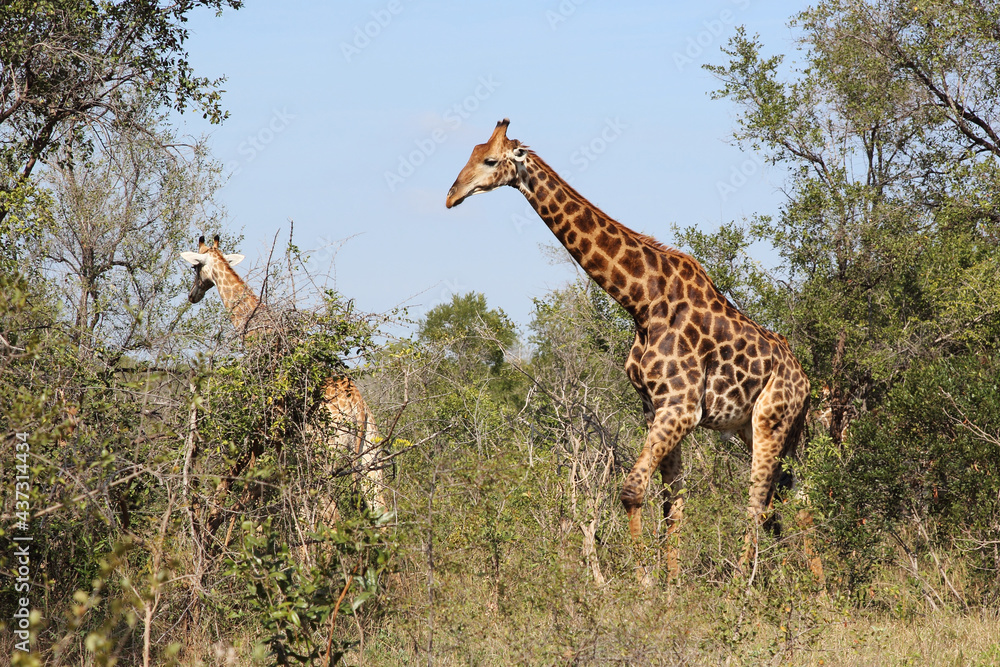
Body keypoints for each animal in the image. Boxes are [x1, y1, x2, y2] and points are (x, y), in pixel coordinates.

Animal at [180, 235, 387, 527]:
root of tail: (360, 413)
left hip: (325, 456)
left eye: (194, 268)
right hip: (371, 458)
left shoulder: (266, 426)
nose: (192, 295)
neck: (258, 328)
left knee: (333, 516)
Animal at [446, 120, 810, 578]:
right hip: (771, 429)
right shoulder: (657, 407)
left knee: (758, 501)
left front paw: (643, 582)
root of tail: (807, 384)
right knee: (796, 498)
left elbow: (633, 491)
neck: (641, 301)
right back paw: (819, 585)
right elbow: (673, 503)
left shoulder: (681, 407)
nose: (451, 195)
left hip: (769, 421)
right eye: (471, 155)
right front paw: (670, 584)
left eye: (491, 160)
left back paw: (743, 582)